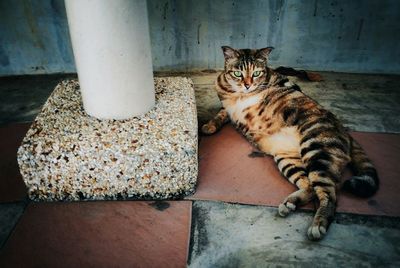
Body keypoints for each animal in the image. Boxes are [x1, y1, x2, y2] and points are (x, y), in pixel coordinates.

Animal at [202, 46, 380, 241]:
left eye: (256, 73)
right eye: (237, 73)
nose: (247, 85)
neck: (239, 94)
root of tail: (345, 131)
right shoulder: (226, 105)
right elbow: (221, 113)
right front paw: (209, 126)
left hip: (317, 150)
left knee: (330, 195)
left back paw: (318, 225)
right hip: (288, 159)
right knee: (310, 186)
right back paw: (290, 203)